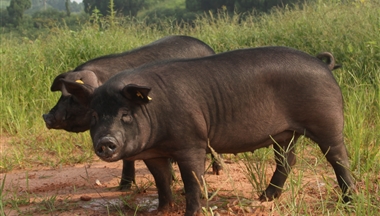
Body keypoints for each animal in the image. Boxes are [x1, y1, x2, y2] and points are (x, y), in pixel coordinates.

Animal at [41, 35, 217, 191]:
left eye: (73, 97)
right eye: (62, 94)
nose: (46, 117)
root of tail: (208, 47)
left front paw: (171, 180)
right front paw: (123, 188)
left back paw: (216, 171)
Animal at [66, 46, 356, 215]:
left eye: (125, 114)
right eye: (94, 116)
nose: (106, 142)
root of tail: (322, 65)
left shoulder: (191, 142)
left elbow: (193, 181)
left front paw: (191, 212)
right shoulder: (154, 153)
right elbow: (162, 181)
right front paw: (160, 211)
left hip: (327, 120)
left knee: (338, 158)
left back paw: (349, 201)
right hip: (284, 134)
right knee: (286, 161)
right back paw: (265, 198)